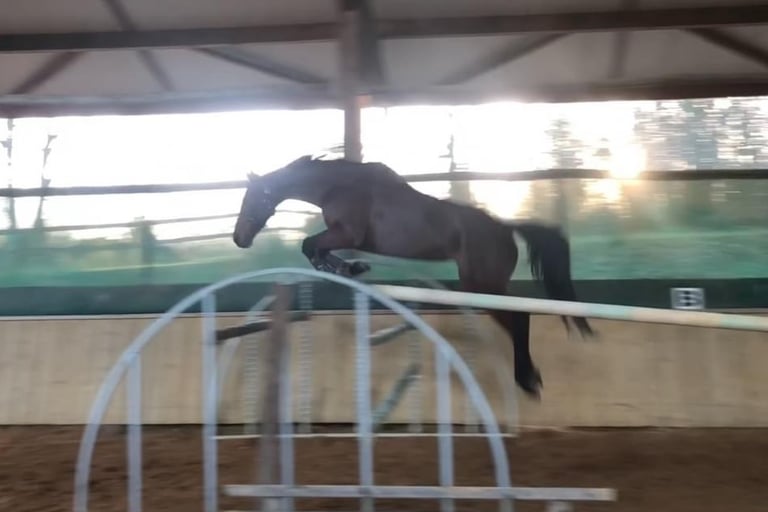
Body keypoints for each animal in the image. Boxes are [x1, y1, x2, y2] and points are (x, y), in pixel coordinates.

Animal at [232, 155, 595, 398]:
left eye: (251, 199)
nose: (239, 239)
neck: (337, 186)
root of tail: (506, 228)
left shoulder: (346, 233)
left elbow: (309, 246)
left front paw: (342, 268)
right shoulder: (345, 238)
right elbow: (316, 250)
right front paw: (351, 268)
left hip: (482, 286)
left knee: (519, 319)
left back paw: (527, 380)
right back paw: (531, 377)